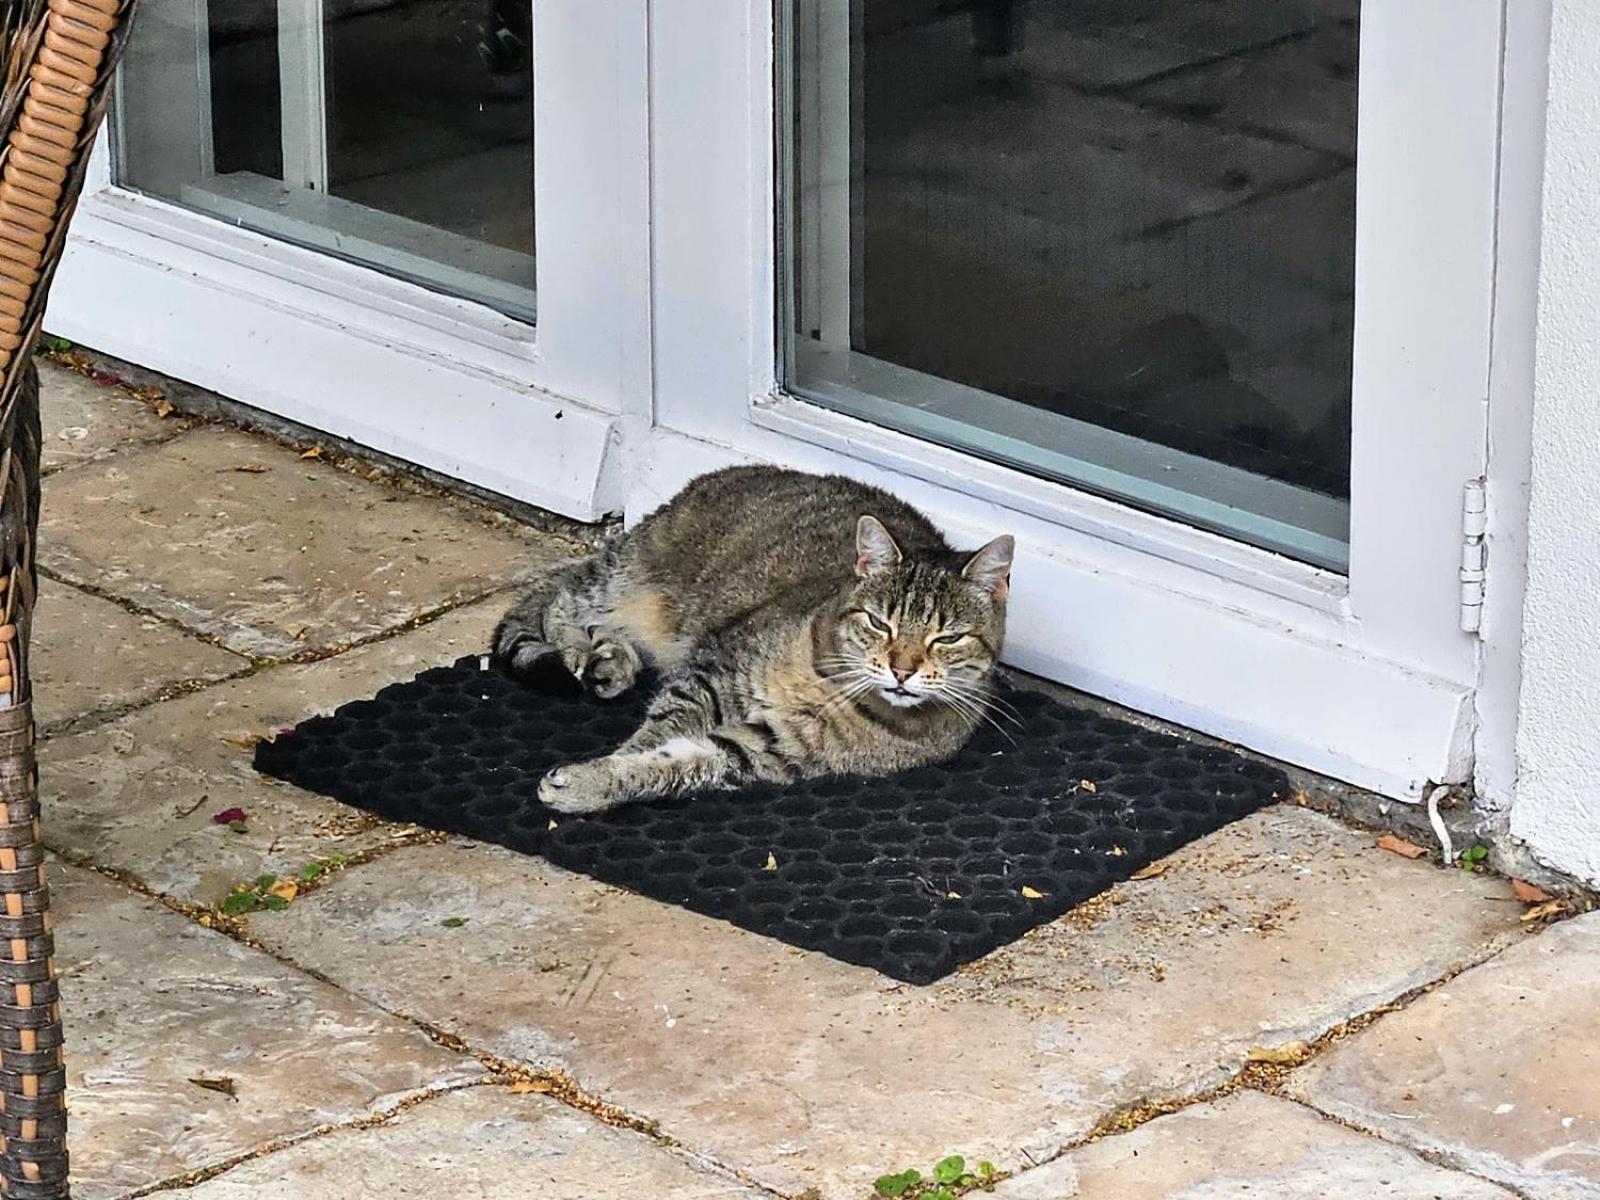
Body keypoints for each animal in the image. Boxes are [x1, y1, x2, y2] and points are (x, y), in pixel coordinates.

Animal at [486, 464, 1011, 812]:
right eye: (880, 623)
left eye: (946, 638)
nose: (902, 669)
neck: (836, 691)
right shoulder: (715, 671)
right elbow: (659, 728)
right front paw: (606, 767)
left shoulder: (763, 748)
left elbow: (676, 763)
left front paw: (600, 781)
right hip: (623, 577)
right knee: (555, 599)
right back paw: (586, 651)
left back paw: (610, 656)